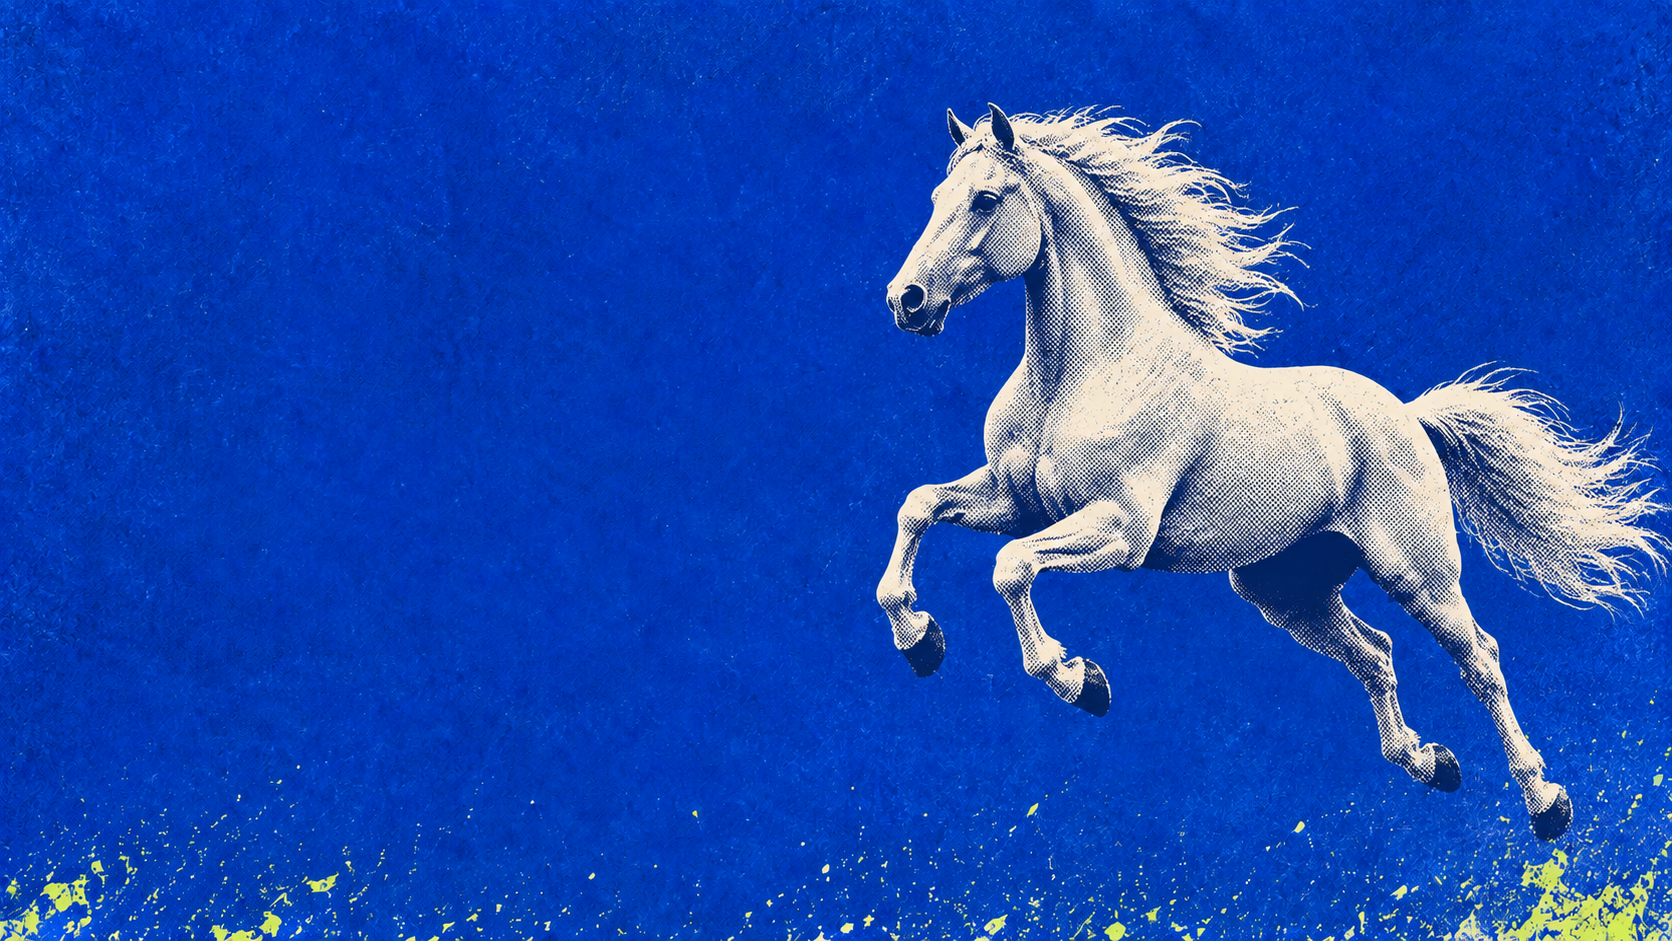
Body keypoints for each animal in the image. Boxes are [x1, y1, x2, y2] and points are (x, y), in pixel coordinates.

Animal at [876, 105, 1666, 842]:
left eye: (985, 198)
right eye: (936, 195)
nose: (905, 300)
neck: (1083, 371)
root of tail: (1409, 416)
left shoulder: (1120, 530)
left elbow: (1011, 567)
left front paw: (1080, 679)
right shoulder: (1018, 502)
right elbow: (919, 506)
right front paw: (920, 640)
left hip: (1418, 574)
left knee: (1481, 659)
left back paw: (1546, 801)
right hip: (1287, 590)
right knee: (1376, 653)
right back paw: (1429, 761)